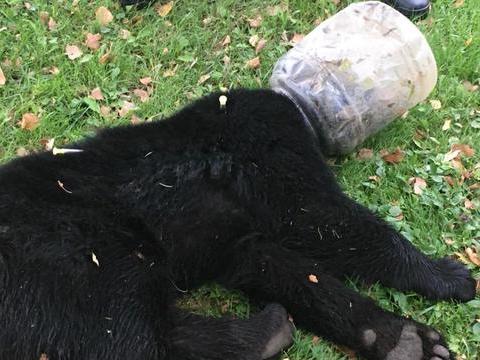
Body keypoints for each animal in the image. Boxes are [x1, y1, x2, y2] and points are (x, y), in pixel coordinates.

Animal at [0, 88, 474, 358]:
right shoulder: (267, 143)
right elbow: (321, 218)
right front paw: (446, 276)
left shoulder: (234, 241)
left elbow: (288, 271)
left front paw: (397, 338)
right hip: (86, 250)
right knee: (129, 338)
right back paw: (260, 334)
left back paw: (272, 330)